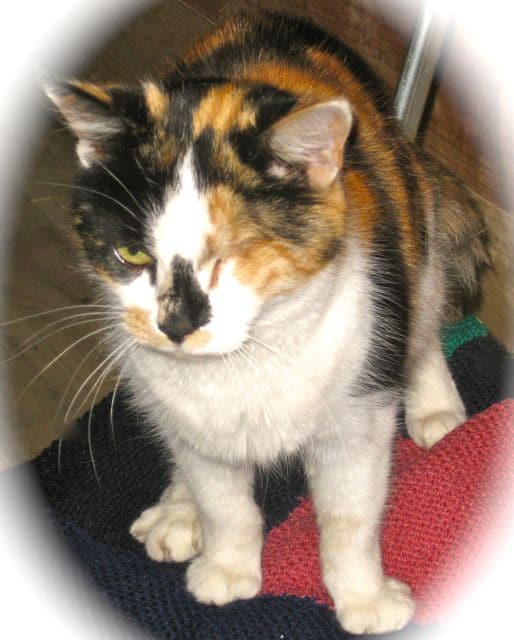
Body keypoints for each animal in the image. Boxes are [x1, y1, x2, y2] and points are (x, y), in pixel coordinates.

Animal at [45, 10, 489, 635]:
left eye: (233, 256)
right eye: (131, 254)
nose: (176, 326)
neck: (246, 362)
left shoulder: (358, 413)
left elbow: (349, 515)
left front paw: (366, 601)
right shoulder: (192, 419)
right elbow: (223, 501)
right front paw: (226, 568)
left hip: (410, 218)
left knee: (424, 308)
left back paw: (435, 408)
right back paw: (176, 511)